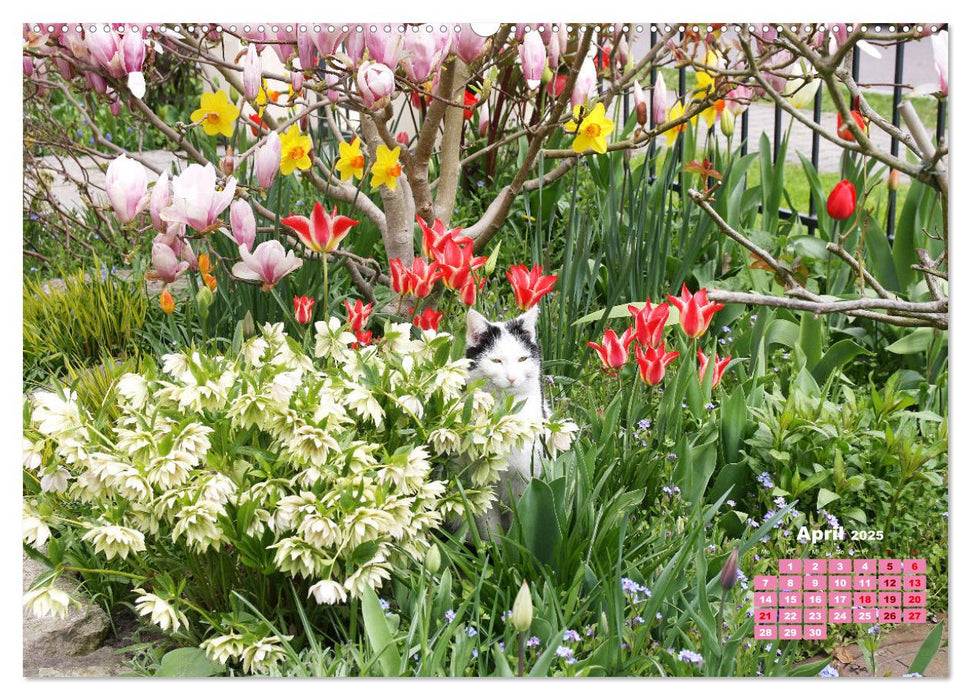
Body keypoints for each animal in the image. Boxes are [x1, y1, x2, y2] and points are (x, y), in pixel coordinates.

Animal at [464, 304, 548, 540]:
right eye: (496, 361)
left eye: (522, 359)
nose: (511, 378)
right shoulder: (482, 488)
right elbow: (489, 529)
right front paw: (495, 549)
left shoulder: (526, 481)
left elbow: (519, 519)